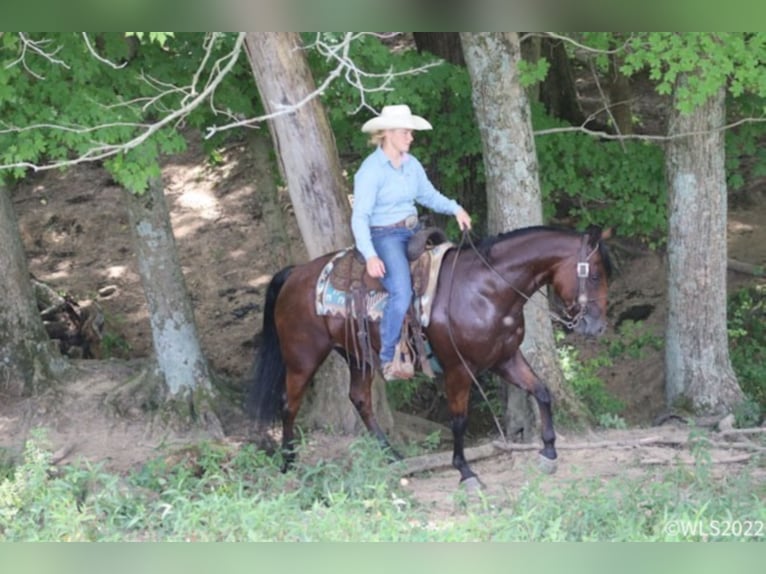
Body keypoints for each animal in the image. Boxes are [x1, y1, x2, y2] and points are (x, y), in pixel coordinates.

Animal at [249, 227, 616, 488]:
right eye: (596, 275)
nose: (597, 327)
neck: (486, 290)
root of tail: (296, 273)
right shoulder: (458, 368)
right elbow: (459, 419)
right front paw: (466, 472)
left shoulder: (506, 359)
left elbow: (542, 391)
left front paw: (549, 452)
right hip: (303, 357)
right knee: (289, 403)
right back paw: (288, 462)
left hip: (357, 355)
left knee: (360, 399)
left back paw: (393, 456)